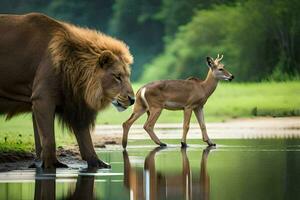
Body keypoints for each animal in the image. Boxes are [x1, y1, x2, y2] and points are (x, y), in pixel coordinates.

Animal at [0, 12, 135, 169]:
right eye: (117, 76)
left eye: (127, 76)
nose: (133, 100)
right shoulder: (42, 98)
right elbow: (49, 140)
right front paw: (49, 166)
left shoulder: (74, 103)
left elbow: (85, 141)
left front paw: (98, 164)